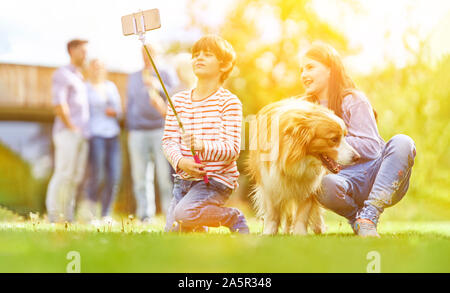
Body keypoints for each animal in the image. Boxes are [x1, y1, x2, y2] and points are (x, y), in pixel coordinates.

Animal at [246, 98, 358, 235]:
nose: (357, 157)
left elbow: (303, 212)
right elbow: (272, 213)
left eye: (344, 136)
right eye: (333, 139)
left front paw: (300, 234)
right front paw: (269, 232)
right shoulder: (269, 181)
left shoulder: (308, 184)